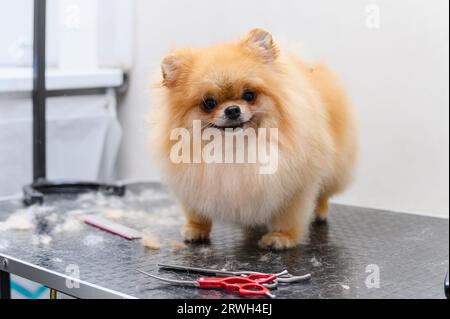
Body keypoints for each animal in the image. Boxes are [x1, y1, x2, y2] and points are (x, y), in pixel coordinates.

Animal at [151, 28, 356, 251]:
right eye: (209, 103)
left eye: (249, 95)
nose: (232, 109)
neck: (235, 148)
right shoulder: (193, 182)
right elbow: (196, 211)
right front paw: (196, 229)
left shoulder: (294, 188)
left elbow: (289, 216)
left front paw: (281, 237)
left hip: (334, 170)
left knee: (324, 194)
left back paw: (320, 213)